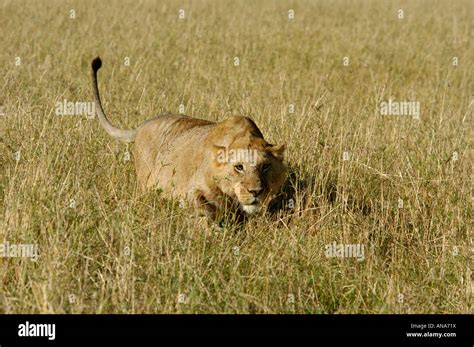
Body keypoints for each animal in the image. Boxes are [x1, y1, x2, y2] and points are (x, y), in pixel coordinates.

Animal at [91, 55, 286, 222]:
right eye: (239, 167)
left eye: (266, 166)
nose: (256, 191)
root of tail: (143, 125)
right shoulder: (189, 191)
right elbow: (202, 209)